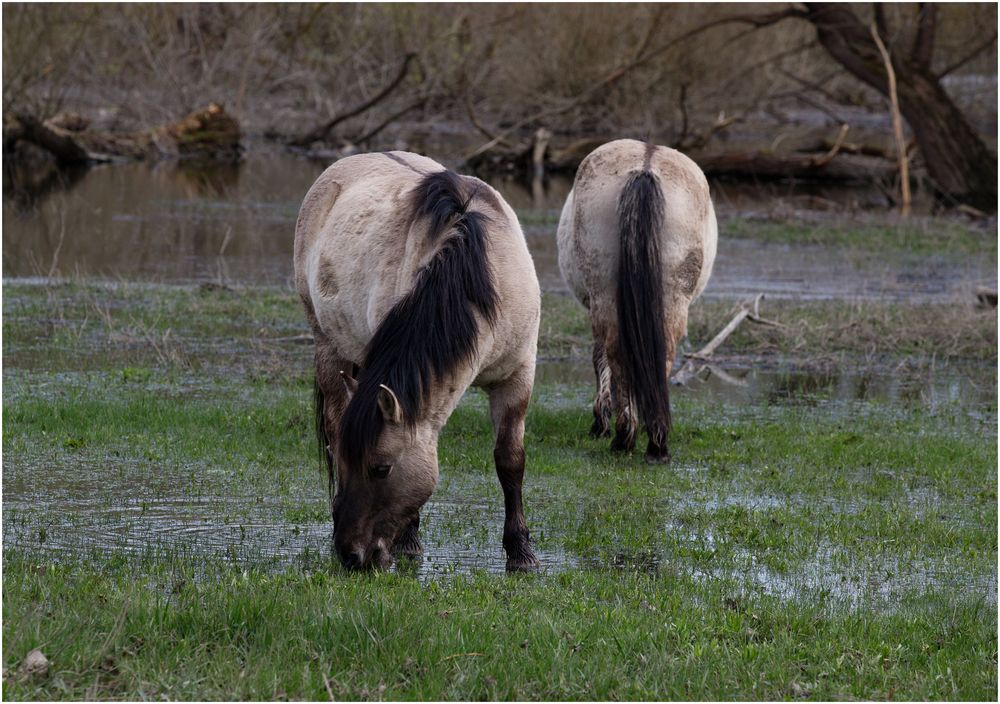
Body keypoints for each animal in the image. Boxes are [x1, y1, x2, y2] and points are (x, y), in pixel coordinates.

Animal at [292, 153, 544, 572]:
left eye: (381, 468)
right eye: (347, 465)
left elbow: (510, 461)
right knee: (332, 425)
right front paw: (408, 542)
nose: (351, 555)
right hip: (327, 346)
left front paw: (520, 551)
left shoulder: (517, 377)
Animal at [556, 140, 720, 464]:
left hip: (605, 297)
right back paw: (654, 440)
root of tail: (646, 167)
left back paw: (625, 436)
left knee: (617, 353)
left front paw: (601, 422)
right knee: (662, 352)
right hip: (670, 299)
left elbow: (599, 359)